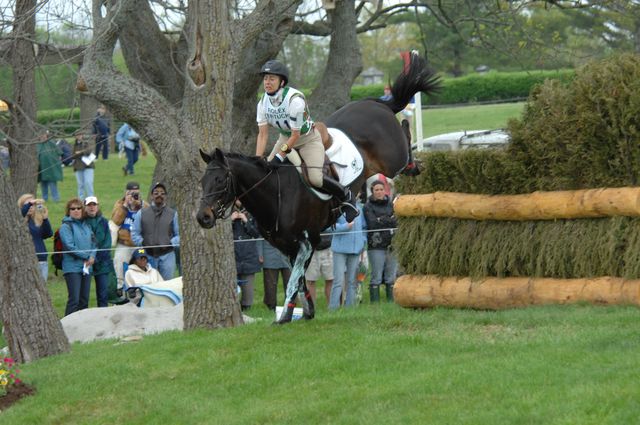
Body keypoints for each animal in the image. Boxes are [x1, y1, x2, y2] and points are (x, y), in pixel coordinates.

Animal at [198, 54, 442, 322]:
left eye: (220, 181)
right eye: (203, 182)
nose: (202, 217)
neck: (274, 193)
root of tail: (375, 104)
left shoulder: (305, 241)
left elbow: (293, 280)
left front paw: (284, 318)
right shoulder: (285, 246)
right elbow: (300, 280)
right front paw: (305, 312)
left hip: (392, 160)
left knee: (405, 137)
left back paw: (413, 157)